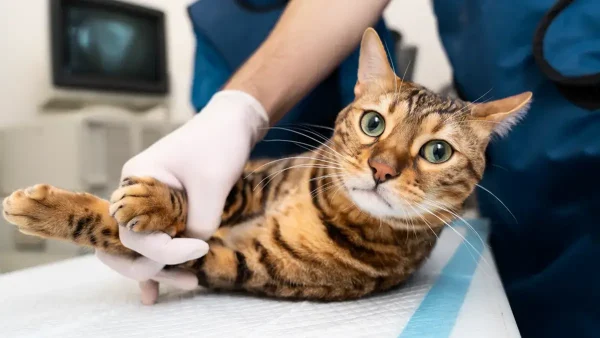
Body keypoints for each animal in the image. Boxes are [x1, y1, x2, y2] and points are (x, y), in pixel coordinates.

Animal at [1, 27, 528, 300]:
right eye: (373, 123)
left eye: (437, 151)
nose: (382, 169)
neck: (331, 212)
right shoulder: (254, 178)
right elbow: (209, 194)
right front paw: (154, 200)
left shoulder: (237, 263)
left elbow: (138, 239)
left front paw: (46, 210)